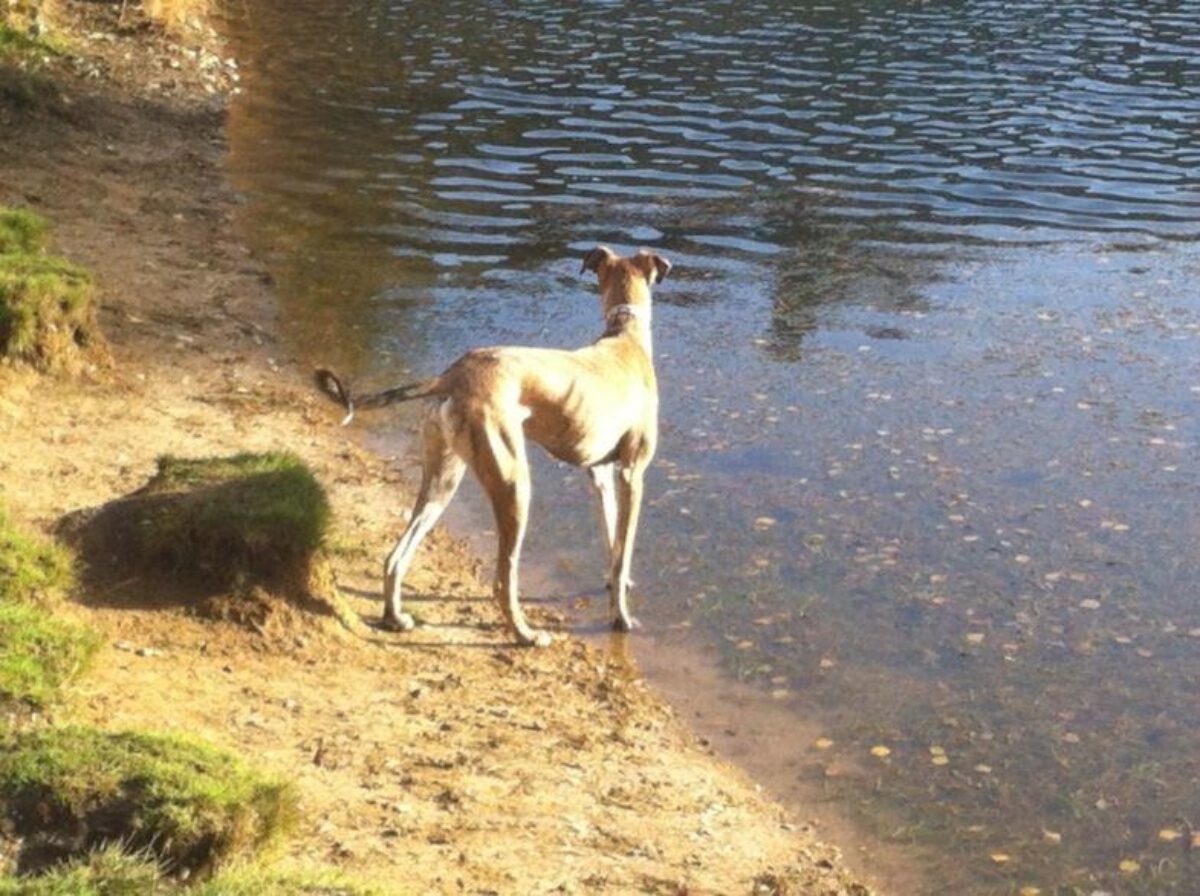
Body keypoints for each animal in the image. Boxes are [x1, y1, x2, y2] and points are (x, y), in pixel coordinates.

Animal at [319, 245, 672, 647]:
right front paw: (621, 617)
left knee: (396, 556)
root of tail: (451, 376)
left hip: (442, 480)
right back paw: (526, 634)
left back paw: (395, 617)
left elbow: (613, 541)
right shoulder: (632, 473)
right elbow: (624, 550)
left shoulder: (599, 475)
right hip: (514, 485)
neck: (625, 337)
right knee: (503, 581)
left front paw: (617, 584)